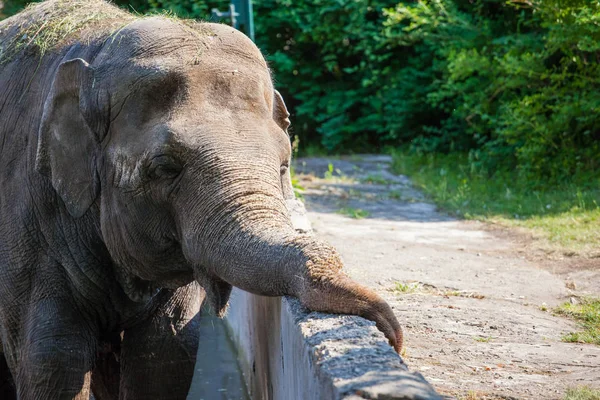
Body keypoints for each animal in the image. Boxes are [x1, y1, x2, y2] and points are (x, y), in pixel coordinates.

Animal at [0, 1, 404, 398]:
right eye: (165, 167)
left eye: (283, 165)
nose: (392, 335)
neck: (99, 47)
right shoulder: (29, 228)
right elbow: (54, 361)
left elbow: (166, 353)